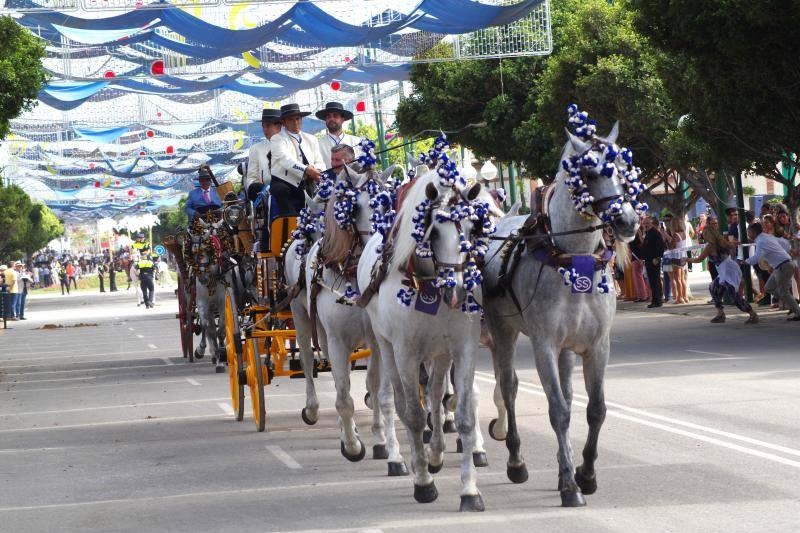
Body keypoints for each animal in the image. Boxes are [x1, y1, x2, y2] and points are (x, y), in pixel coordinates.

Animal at [304, 164, 406, 472]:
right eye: (355, 206)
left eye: (387, 201)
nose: (378, 246)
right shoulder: (337, 341)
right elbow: (343, 397)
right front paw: (351, 445)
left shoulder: (378, 338)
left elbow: (379, 391)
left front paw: (385, 444)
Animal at [358, 167, 500, 512]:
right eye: (433, 232)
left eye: (473, 227)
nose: (457, 290)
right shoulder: (406, 353)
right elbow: (412, 415)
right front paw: (423, 482)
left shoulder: (463, 348)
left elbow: (462, 413)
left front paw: (469, 490)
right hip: (386, 347)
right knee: (394, 400)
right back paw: (406, 458)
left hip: (440, 352)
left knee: (436, 396)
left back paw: (435, 452)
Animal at [482, 110, 644, 504]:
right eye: (588, 172)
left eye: (623, 166)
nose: (627, 221)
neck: (573, 258)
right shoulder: (544, 344)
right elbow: (557, 411)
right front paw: (571, 486)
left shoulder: (597, 346)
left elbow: (593, 410)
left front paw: (584, 473)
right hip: (502, 331)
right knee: (508, 387)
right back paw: (516, 461)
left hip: (568, 348)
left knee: (568, 396)